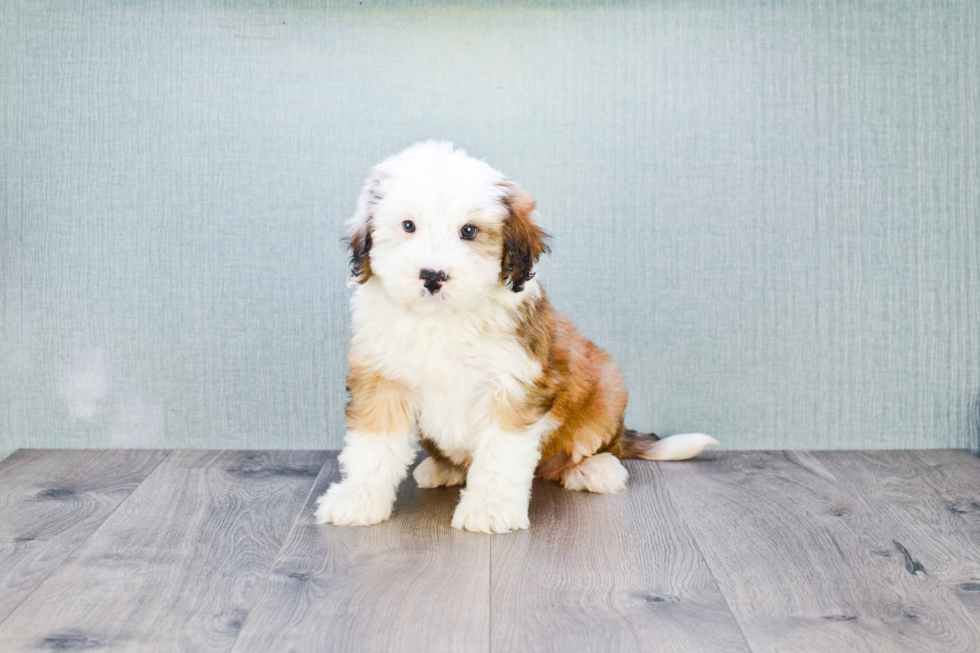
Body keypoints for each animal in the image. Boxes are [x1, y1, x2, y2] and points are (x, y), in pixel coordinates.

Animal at [318, 140, 716, 532]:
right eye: (408, 225)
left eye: (469, 231)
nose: (432, 276)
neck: (443, 319)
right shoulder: (381, 379)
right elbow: (372, 447)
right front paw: (357, 500)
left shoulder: (512, 387)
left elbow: (500, 453)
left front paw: (489, 509)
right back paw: (442, 468)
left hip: (607, 388)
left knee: (599, 443)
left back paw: (596, 468)